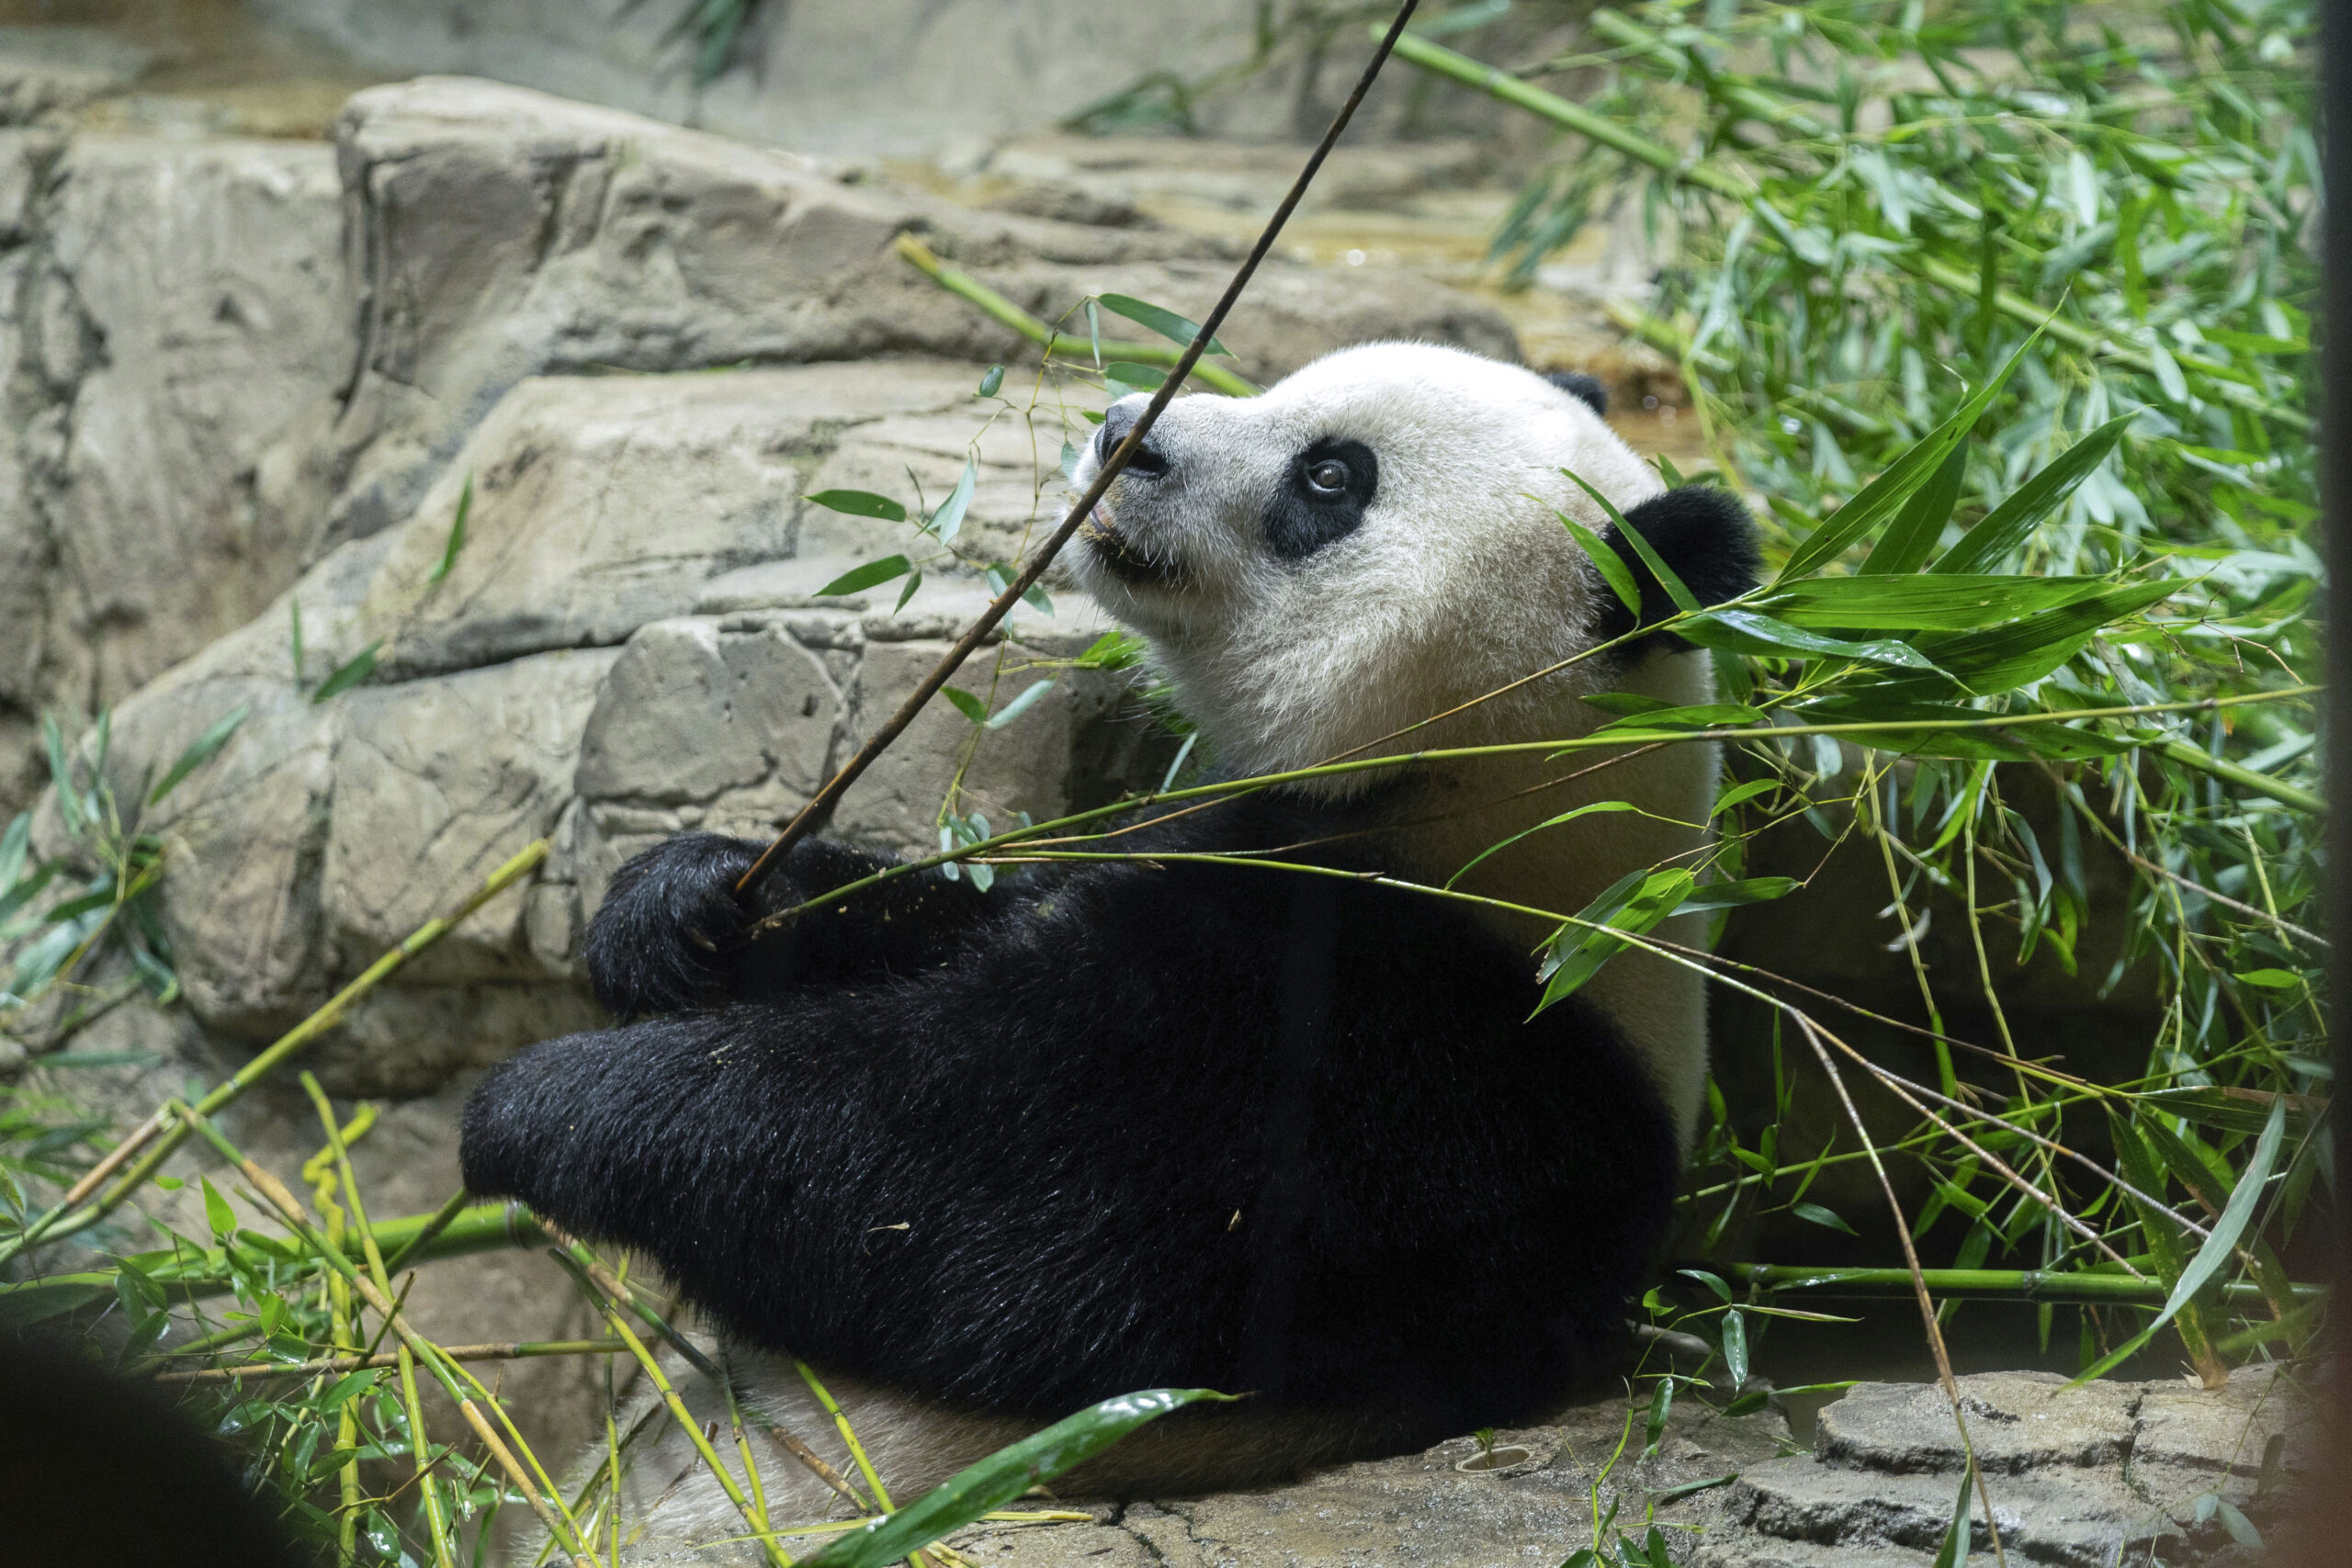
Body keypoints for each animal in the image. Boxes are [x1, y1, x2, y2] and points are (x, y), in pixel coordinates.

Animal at [458, 341, 1758, 1546]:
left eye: (1330, 476)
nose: (1124, 429)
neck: (1512, 801)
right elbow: (968, 915)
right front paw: (683, 908)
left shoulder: (1419, 1064)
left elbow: (984, 1209)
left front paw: (551, 1104)